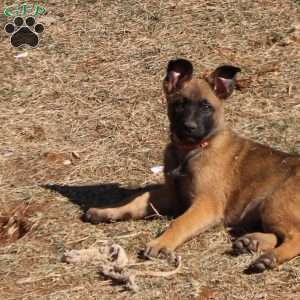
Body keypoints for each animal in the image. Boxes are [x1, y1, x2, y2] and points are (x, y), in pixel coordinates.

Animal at [83, 58, 300, 272]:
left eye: (206, 107)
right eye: (180, 105)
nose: (189, 127)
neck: (190, 151)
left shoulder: (206, 204)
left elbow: (179, 223)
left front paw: (161, 243)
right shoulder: (171, 196)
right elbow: (136, 201)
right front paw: (106, 211)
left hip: (274, 204)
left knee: (295, 237)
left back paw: (269, 257)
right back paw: (252, 242)